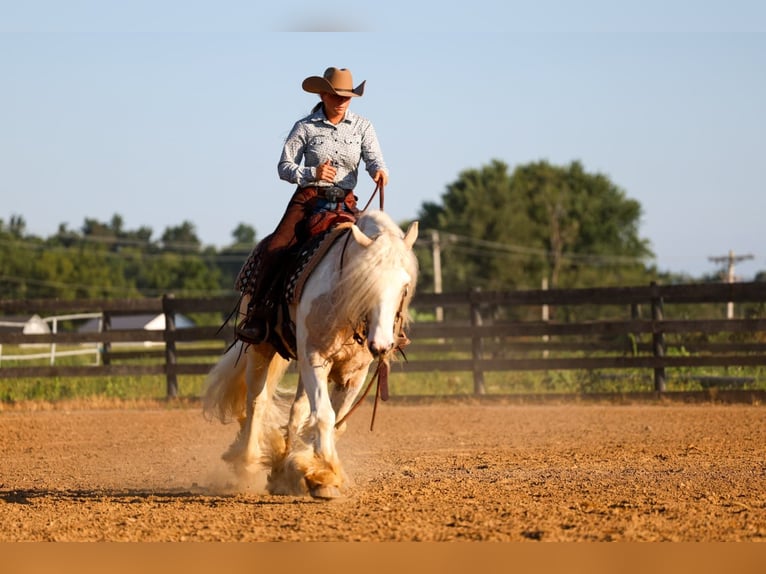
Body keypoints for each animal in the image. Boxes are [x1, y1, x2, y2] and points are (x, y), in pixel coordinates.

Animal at [203, 210, 419, 499]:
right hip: (261, 348)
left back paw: (282, 468)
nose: (382, 344)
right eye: (364, 282)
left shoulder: (354, 374)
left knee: (297, 408)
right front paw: (324, 478)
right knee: (257, 401)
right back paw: (247, 462)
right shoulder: (314, 359)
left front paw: (304, 466)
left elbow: (332, 419)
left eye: (404, 286)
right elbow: (325, 416)